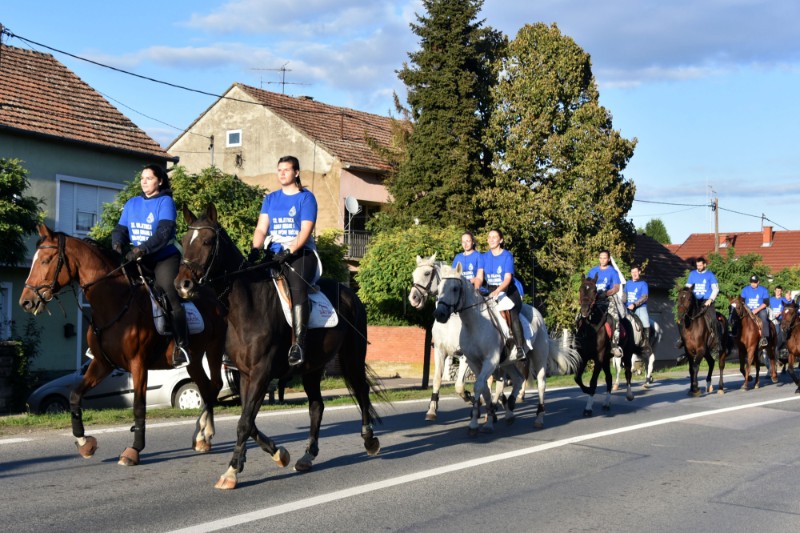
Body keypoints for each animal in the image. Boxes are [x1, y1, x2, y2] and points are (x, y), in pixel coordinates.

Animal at [17, 222, 228, 464]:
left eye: (45, 260)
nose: (26, 301)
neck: (114, 303)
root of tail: (215, 299)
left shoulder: (138, 365)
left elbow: (138, 406)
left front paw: (134, 450)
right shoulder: (102, 364)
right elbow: (75, 396)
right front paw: (84, 442)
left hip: (213, 350)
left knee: (214, 385)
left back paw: (204, 434)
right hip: (193, 360)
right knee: (205, 388)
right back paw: (201, 436)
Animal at [173, 205, 384, 490]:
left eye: (206, 241)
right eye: (185, 241)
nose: (182, 285)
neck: (247, 306)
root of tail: (351, 295)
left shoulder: (262, 373)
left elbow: (244, 422)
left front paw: (231, 471)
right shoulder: (245, 374)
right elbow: (248, 420)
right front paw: (278, 453)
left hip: (351, 357)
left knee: (361, 391)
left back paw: (370, 440)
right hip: (312, 367)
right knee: (316, 406)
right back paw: (307, 456)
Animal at [572, 274, 636, 416]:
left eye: (594, 291)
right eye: (580, 289)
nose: (585, 310)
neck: (591, 328)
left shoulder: (599, 357)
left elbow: (593, 381)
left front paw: (588, 408)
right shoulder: (584, 356)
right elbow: (577, 378)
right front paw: (586, 390)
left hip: (627, 354)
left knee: (628, 372)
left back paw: (629, 395)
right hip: (607, 359)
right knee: (609, 378)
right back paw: (606, 403)